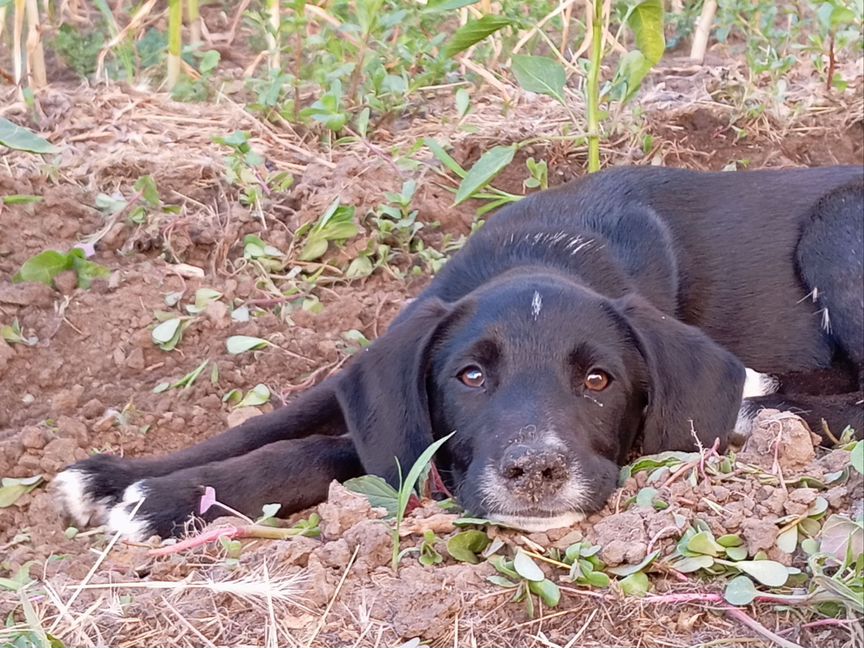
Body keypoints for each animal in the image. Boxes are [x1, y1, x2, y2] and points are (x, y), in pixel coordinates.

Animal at [55, 165, 864, 540]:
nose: (535, 473)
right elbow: (273, 419)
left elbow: (326, 449)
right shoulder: (381, 366)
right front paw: (116, 481)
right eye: (469, 376)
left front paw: (169, 503)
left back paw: (757, 403)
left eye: (599, 380)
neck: (548, 249)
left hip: (835, 226)